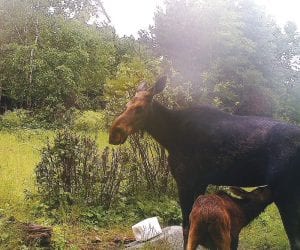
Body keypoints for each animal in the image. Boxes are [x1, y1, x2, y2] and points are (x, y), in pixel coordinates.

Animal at [109, 77, 300, 249]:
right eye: (127, 105)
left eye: (140, 108)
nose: (114, 133)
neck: (169, 138)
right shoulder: (200, 182)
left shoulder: (185, 182)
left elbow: (186, 228)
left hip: (285, 192)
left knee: (293, 237)